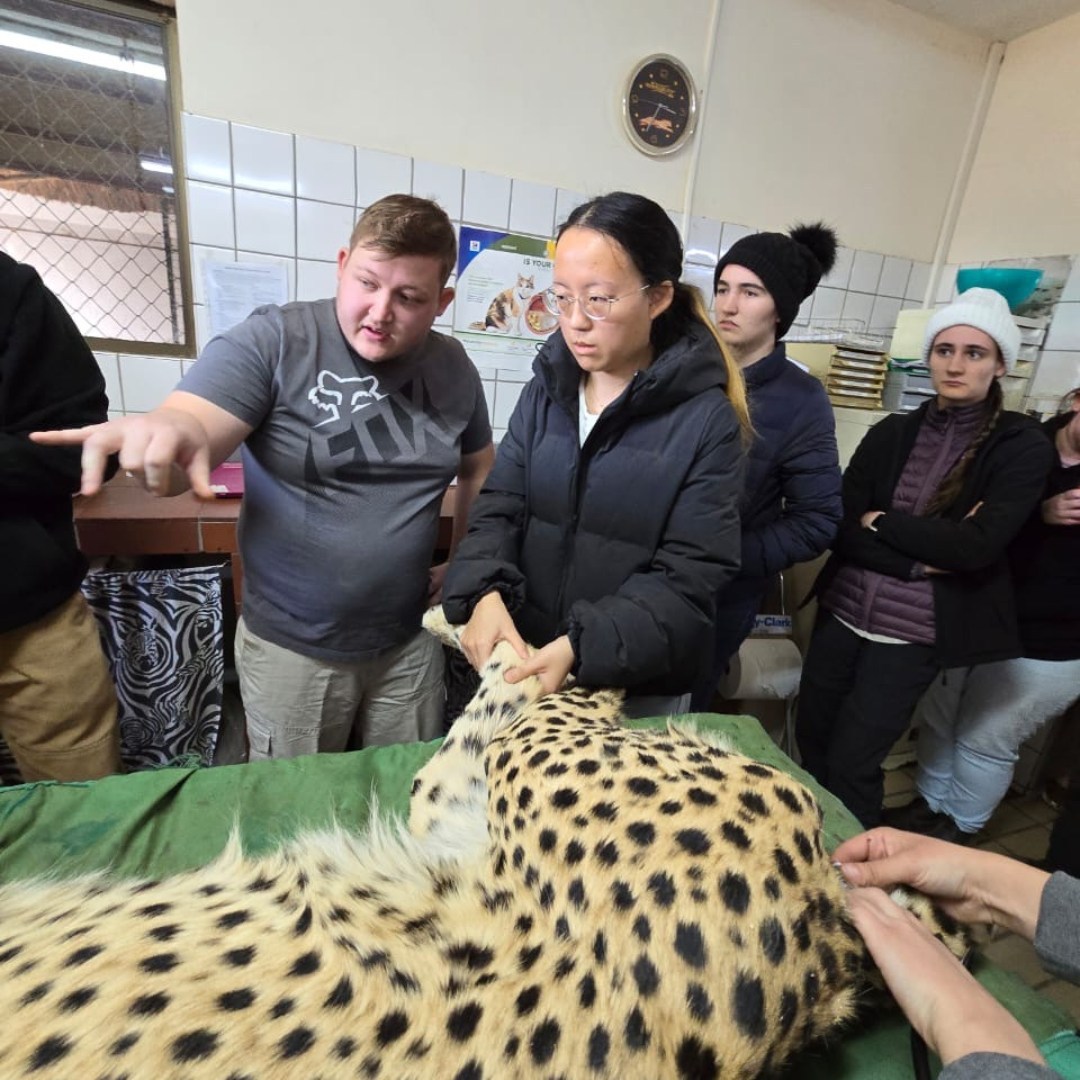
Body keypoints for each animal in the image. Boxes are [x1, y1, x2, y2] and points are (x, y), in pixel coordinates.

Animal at [0, 606, 968, 1079]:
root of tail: (825, 961)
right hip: (459, 807)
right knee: (494, 709)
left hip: (540, 752)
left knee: (533, 675)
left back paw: (469, 620)